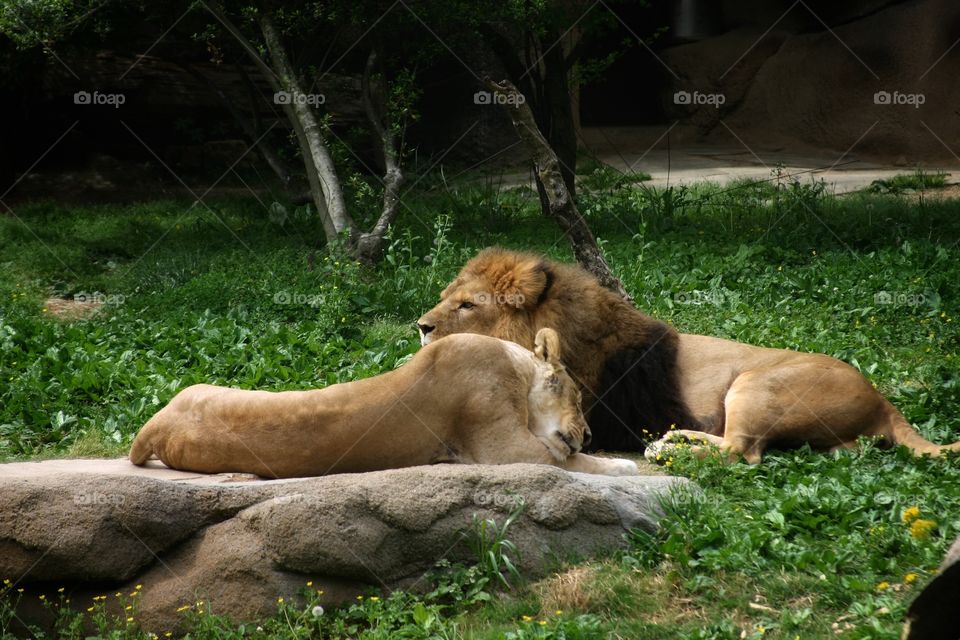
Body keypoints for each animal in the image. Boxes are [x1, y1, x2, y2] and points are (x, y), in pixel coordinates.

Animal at [127, 330, 636, 476]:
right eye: (575, 396)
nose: (590, 432)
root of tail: (153, 424)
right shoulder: (504, 449)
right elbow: (572, 462)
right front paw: (622, 464)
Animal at [418, 248, 960, 462]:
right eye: (445, 297)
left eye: (466, 305)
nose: (421, 327)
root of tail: (881, 397)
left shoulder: (595, 417)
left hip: (755, 384)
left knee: (742, 452)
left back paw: (669, 447)